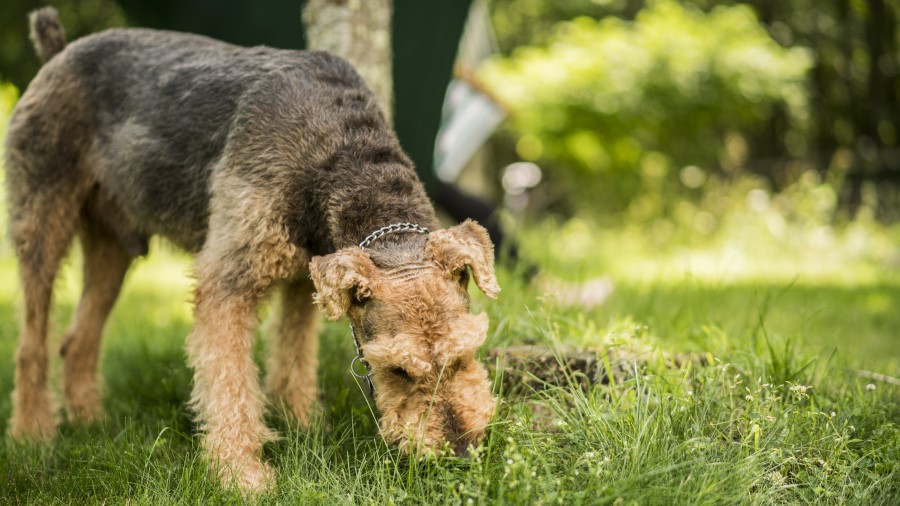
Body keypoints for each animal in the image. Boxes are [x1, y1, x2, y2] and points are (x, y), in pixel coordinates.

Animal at [5, 6, 500, 490]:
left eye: (465, 353)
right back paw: (33, 434)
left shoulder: (307, 277)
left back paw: (91, 422)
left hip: (114, 247)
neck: (337, 149)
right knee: (32, 344)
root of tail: (59, 51)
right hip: (42, 224)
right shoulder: (228, 282)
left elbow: (293, 360)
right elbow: (230, 384)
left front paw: (303, 425)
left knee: (78, 340)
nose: (462, 454)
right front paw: (241, 474)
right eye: (398, 369)